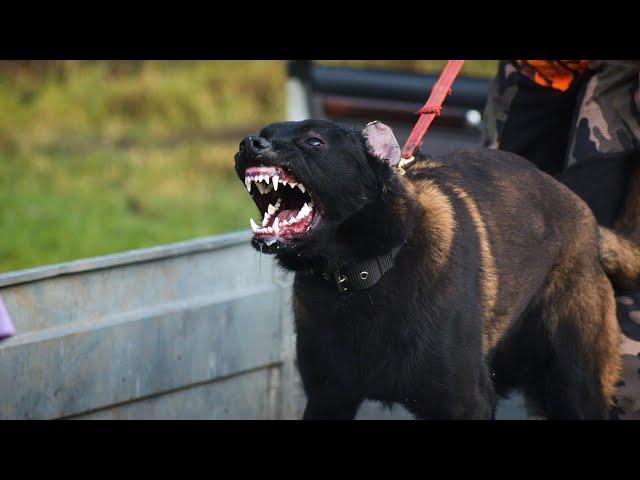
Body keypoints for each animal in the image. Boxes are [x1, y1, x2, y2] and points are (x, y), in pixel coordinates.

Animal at [235, 118, 632, 418]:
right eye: (267, 133)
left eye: (313, 142)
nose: (248, 144)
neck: (364, 274)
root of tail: (589, 221)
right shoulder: (328, 398)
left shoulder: (466, 403)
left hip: (577, 385)